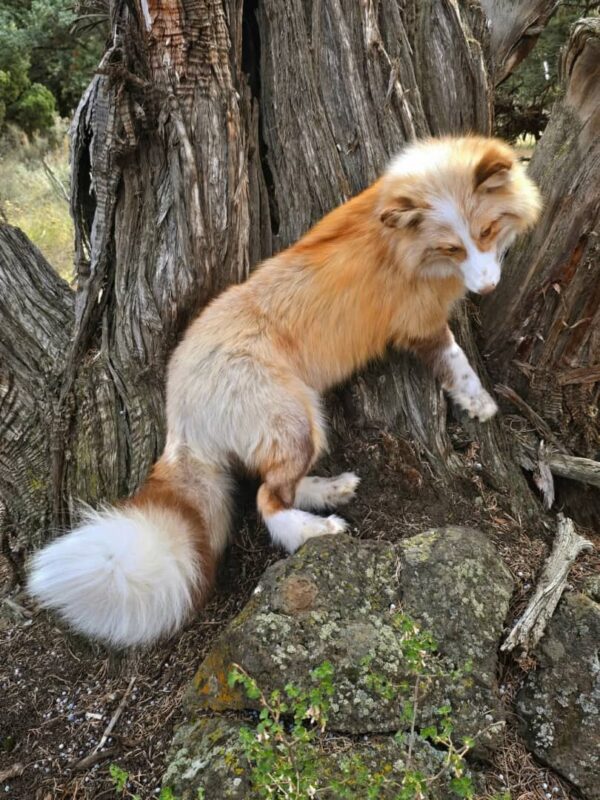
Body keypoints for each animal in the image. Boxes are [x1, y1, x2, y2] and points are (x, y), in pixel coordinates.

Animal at [28, 136, 541, 647]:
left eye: (488, 230)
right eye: (452, 247)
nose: (488, 288)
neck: (404, 247)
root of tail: (179, 410)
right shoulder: (421, 325)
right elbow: (456, 363)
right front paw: (479, 402)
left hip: (303, 425)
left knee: (279, 485)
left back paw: (330, 490)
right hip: (297, 420)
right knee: (267, 502)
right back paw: (318, 532)